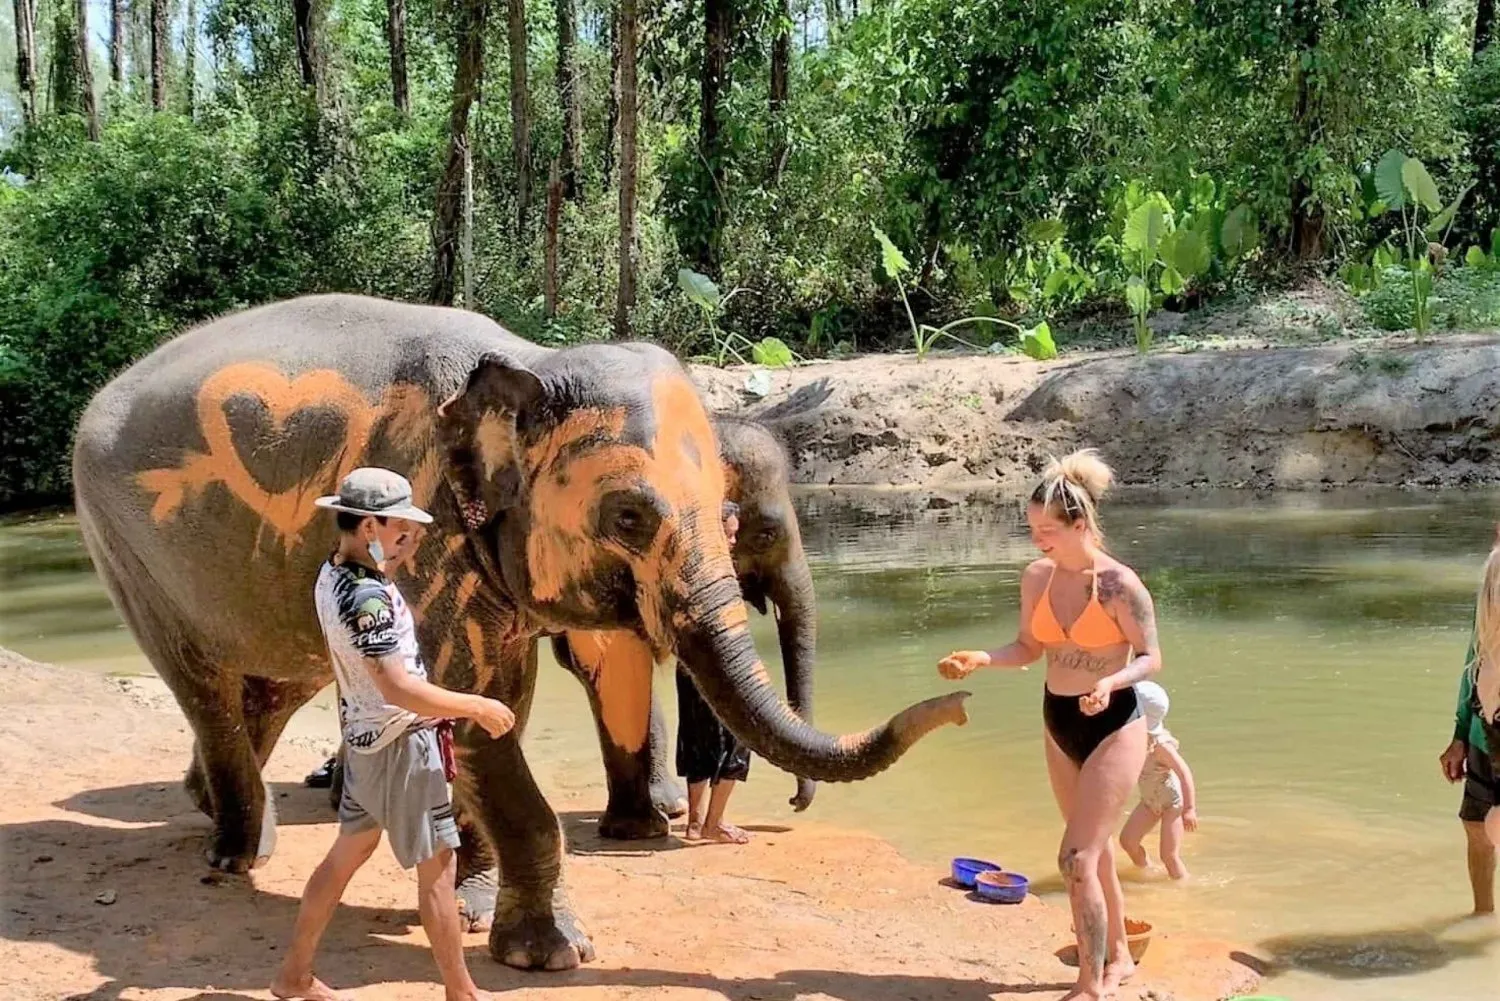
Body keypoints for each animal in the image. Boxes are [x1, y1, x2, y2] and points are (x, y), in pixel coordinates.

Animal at [71, 293, 970, 971]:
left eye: (725, 513)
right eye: (630, 516)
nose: (956, 698)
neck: (530, 361)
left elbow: (511, 695)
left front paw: (469, 904)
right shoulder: (424, 527)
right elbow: (471, 705)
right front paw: (555, 954)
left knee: (271, 683)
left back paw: (216, 810)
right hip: (122, 543)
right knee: (206, 685)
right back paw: (237, 857)